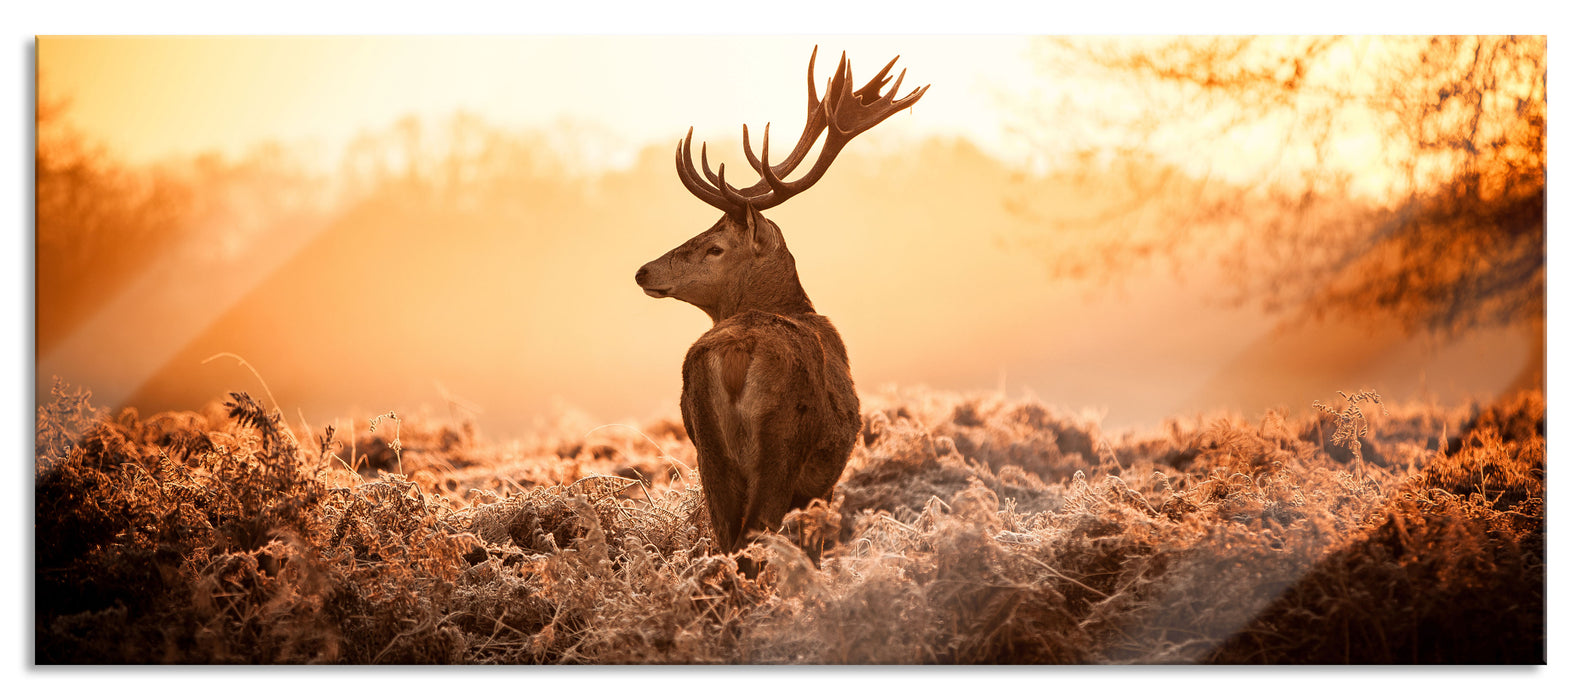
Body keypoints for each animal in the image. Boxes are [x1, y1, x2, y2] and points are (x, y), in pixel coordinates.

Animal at [632, 46, 923, 560]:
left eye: (714, 246)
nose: (644, 271)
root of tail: (735, 354)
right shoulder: (822, 482)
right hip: (781, 445)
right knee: (754, 535)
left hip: (708, 449)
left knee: (725, 536)